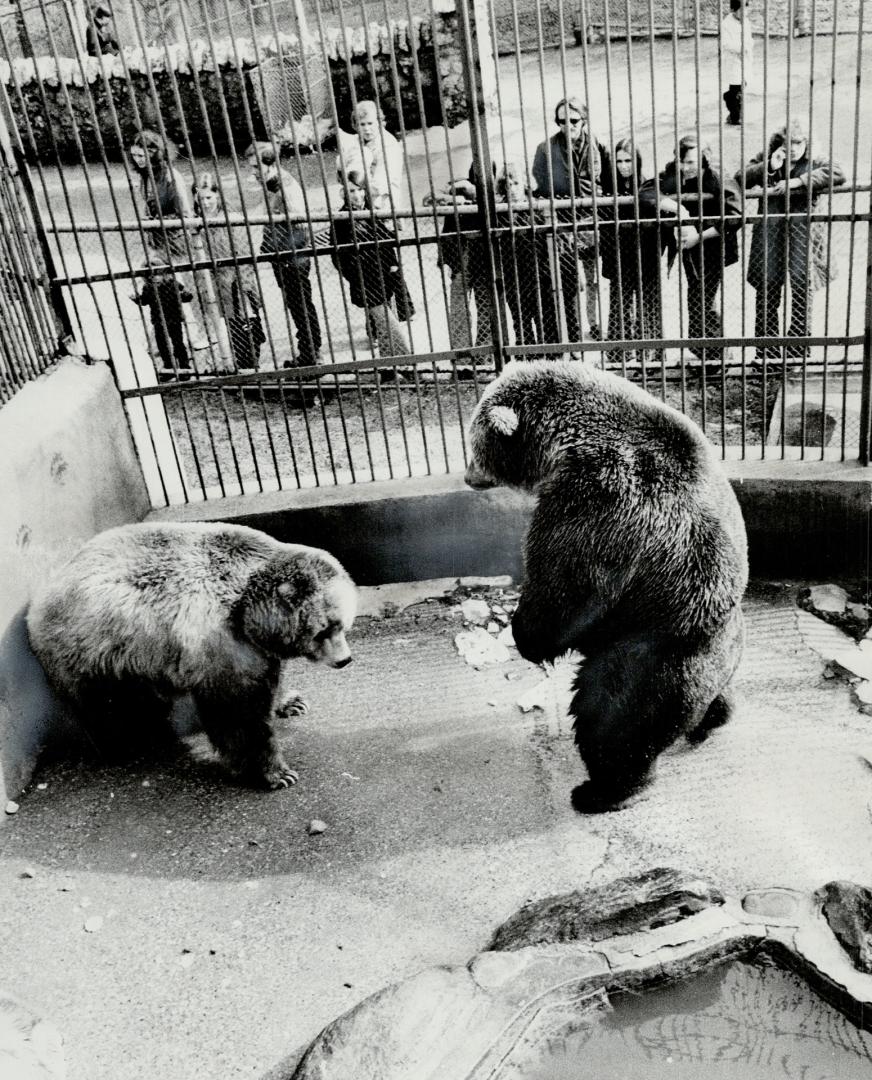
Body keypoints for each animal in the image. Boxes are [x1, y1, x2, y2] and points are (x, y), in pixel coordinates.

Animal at [25, 518, 358, 790]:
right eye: (324, 630)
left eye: (342, 624)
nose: (345, 660)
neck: (247, 612)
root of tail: (37, 604)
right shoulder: (219, 643)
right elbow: (239, 715)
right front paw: (275, 773)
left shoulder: (253, 649)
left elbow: (267, 681)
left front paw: (291, 701)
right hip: (98, 652)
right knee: (111, 709)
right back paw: (130, 744)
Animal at [466, 360, 747, 812]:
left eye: (473, 445)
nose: (468, 475)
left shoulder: (600, 496)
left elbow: (567, 585)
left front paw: (526, 636)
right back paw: (711, 721)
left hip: (650, 653)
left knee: (611, 720)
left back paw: (602, 790)